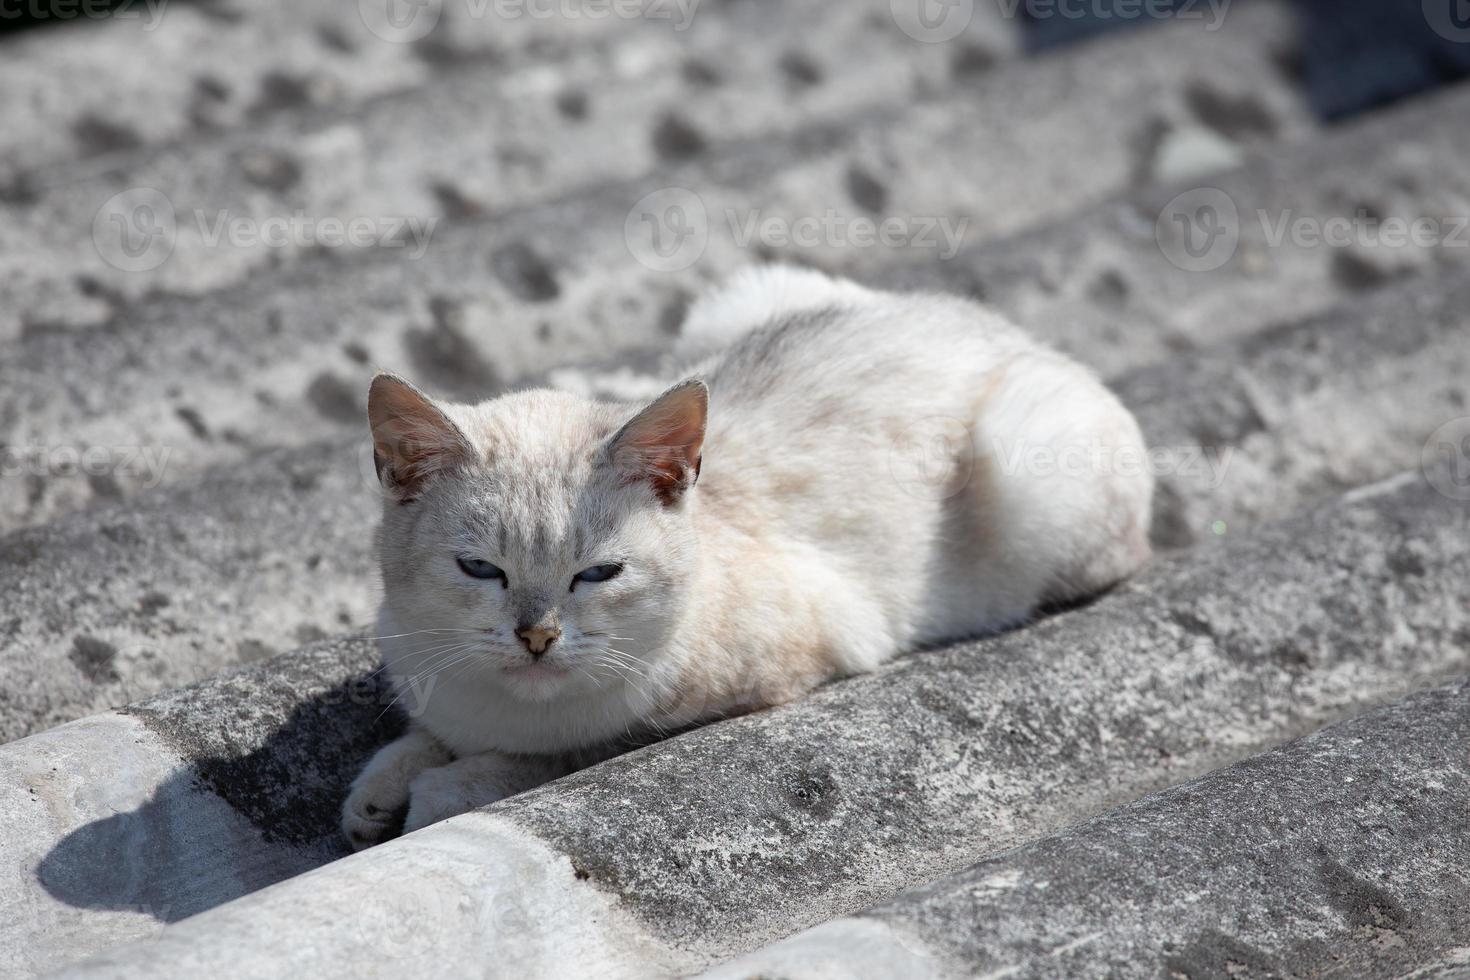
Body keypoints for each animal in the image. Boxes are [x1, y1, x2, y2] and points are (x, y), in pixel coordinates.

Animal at [341, 268, 1146, 852]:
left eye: (598, 574)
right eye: (481, 570)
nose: (536, 636)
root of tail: (999, 323)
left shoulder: (762, 679)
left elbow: (560, 753)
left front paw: (437, 793)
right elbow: (419, 740)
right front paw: (377, 794)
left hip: (1034, 482)